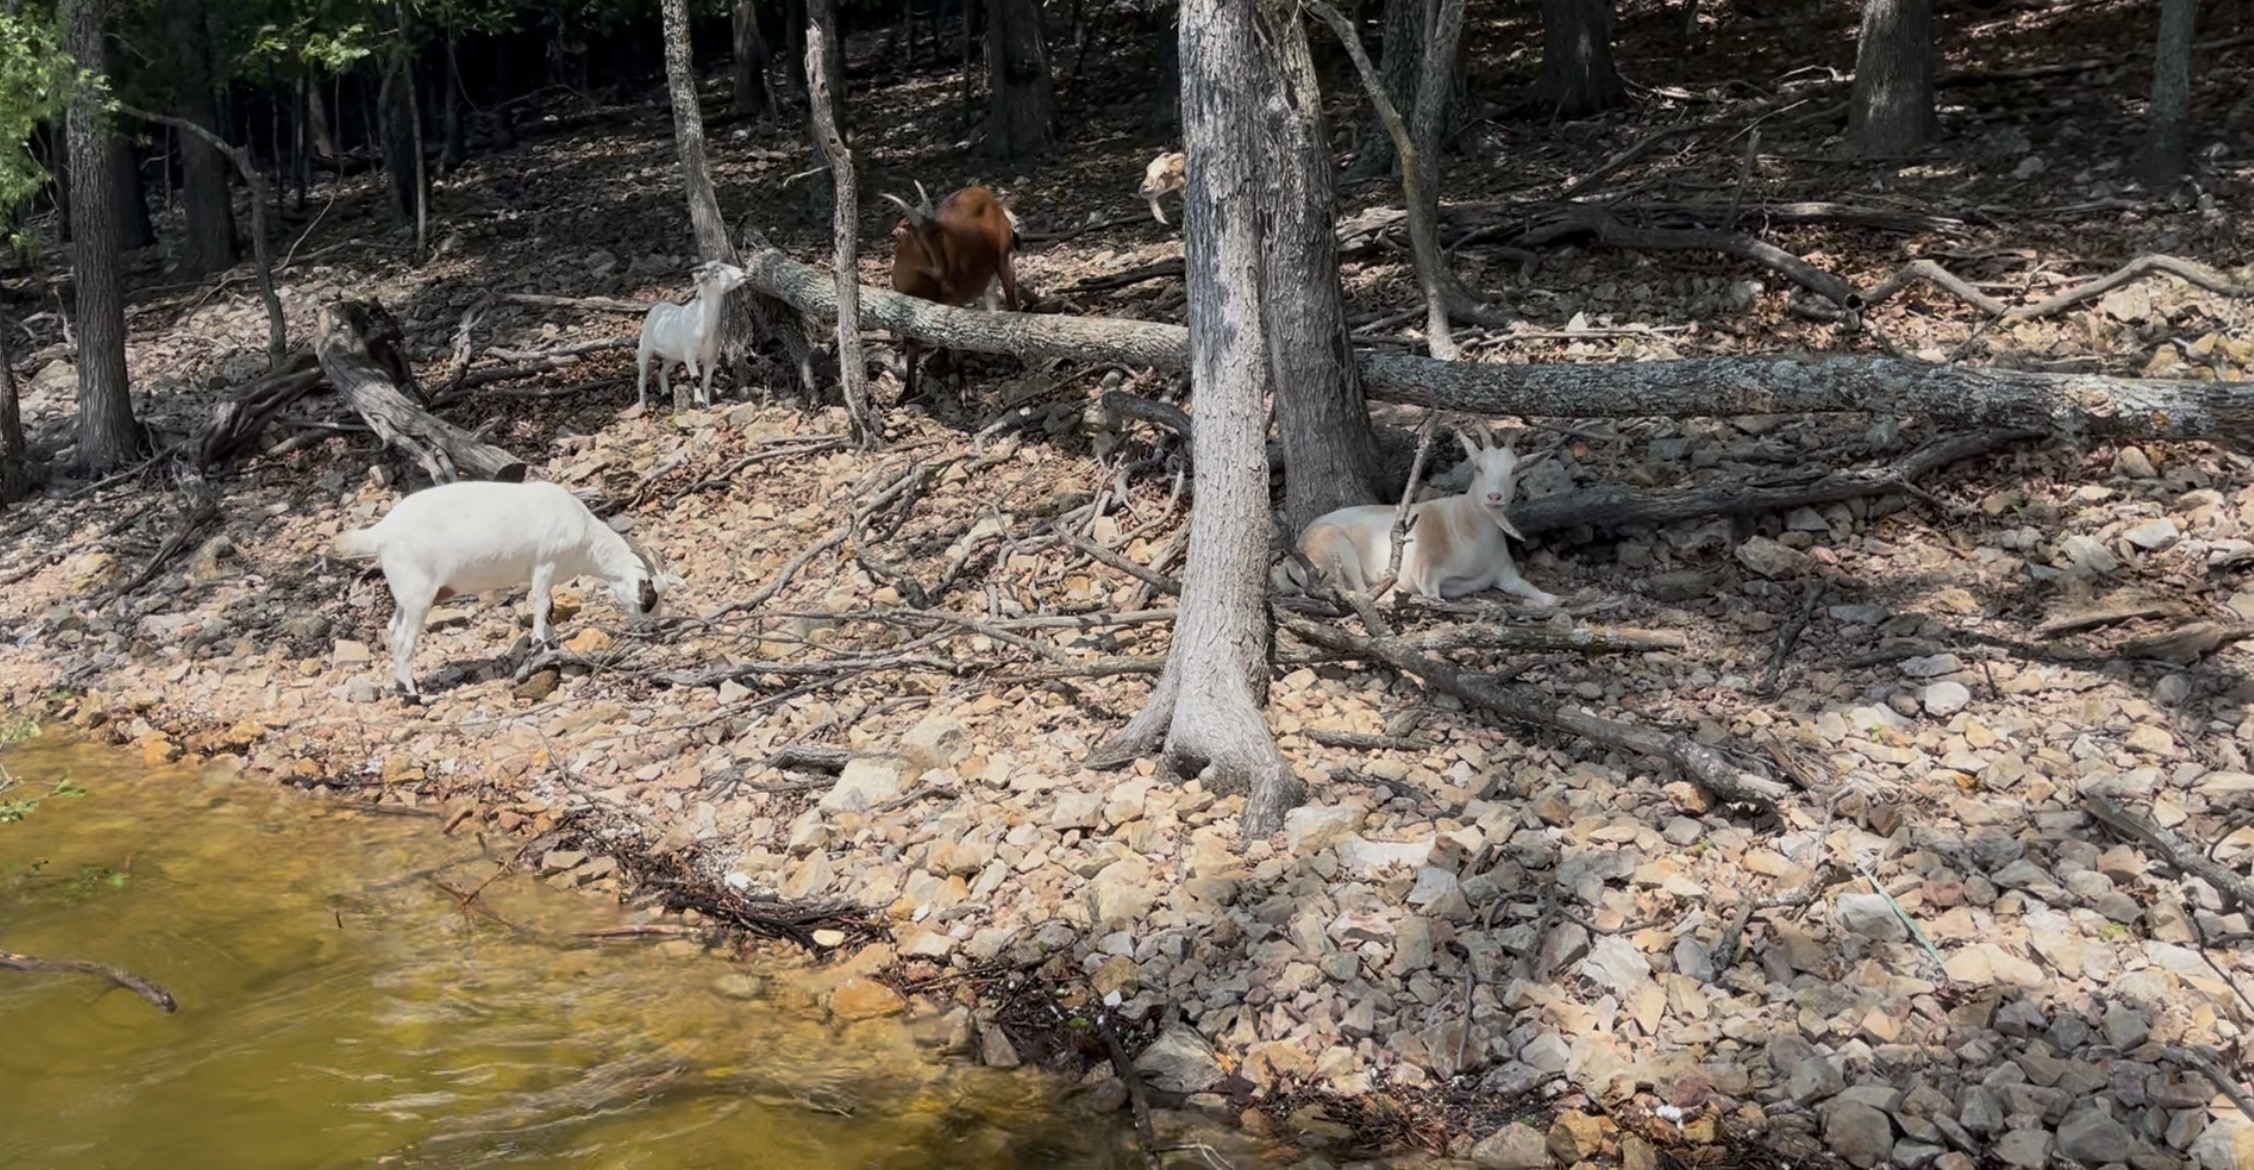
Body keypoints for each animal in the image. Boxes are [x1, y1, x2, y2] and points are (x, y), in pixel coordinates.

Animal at [329, 480, 681, 699]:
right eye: (649, 598)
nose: (650, 631)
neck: (585, 538)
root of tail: (381, 532)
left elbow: (549, 609)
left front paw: (552, 647)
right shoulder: (544, 565)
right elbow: (541, 607)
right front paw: (541, 650)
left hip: (404, 591)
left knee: (393, 628)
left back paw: (406, 684)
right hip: (418, 592)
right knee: (404, 637)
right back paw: (411, 695)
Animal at [636, 260, 748, 411]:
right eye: (717, 272)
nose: (743, 272)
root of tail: (657, 308)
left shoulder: (711, 357)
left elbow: (707, 381)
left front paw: (708, 404)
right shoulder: (690, 355)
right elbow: (696, 378)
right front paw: (700, 402)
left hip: (673, 356)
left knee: (662, 371)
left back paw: (666, 394)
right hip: (645, 348)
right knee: (642, 375)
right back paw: (642, 404)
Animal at [881, 181, 1021, 403]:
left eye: (940, 233)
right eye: (903, 236)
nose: (942, 271)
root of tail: (990, 198)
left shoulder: (951, 300)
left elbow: (955, 344)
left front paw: (964, 389)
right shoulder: (907, 311)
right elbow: (912, 349)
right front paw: (906, 392)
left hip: (1004, 259)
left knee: (1011, 300)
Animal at [1292, 424, 1558, 607]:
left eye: (1515, 471)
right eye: (1479, 467)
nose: (1494, 497)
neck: (1464, 527)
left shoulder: (1506, 574)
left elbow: (1537, 592)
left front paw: (1553, 599)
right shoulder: (1427, 573)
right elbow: (1435, 597)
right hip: (1339, 548)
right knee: (1359, 590)